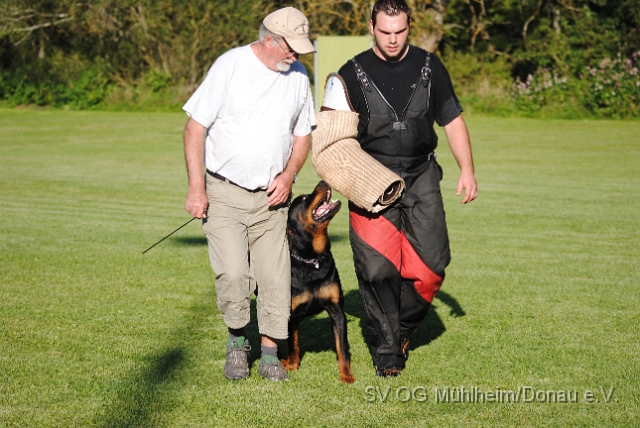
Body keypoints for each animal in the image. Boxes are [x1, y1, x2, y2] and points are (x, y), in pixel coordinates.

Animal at [282, 181, 356, 384]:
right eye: (304, 198)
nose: (323, 181)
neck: (312, 259)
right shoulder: (290, 314)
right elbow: (293, 343)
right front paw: (292, 365)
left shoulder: (337, 311)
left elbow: (342, 348)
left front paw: (346, 375)